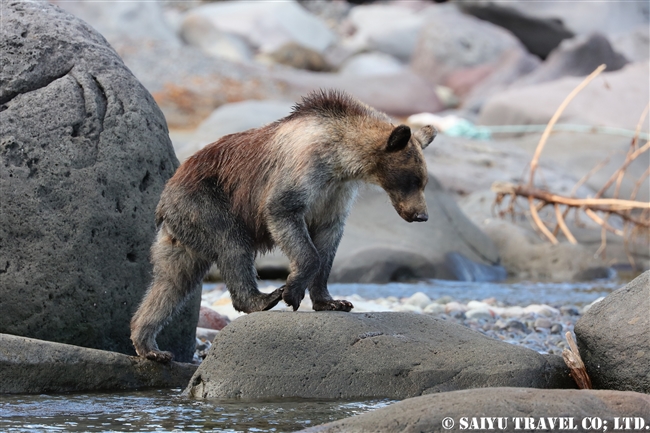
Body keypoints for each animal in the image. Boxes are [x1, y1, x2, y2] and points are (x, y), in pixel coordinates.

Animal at [130, 90, 436, 362]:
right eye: (411, 179)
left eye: (423, 181)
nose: (421, 215)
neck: (341, 159)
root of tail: (166, 194)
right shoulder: (304, 170)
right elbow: (285, 214)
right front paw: (291, 292)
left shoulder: (335, 196)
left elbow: (328, 241)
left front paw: (333, 301)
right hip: (208, 202)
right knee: (232, 246)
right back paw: (263, 298)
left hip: (183, 234)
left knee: (171, 282)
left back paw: (149, 345)